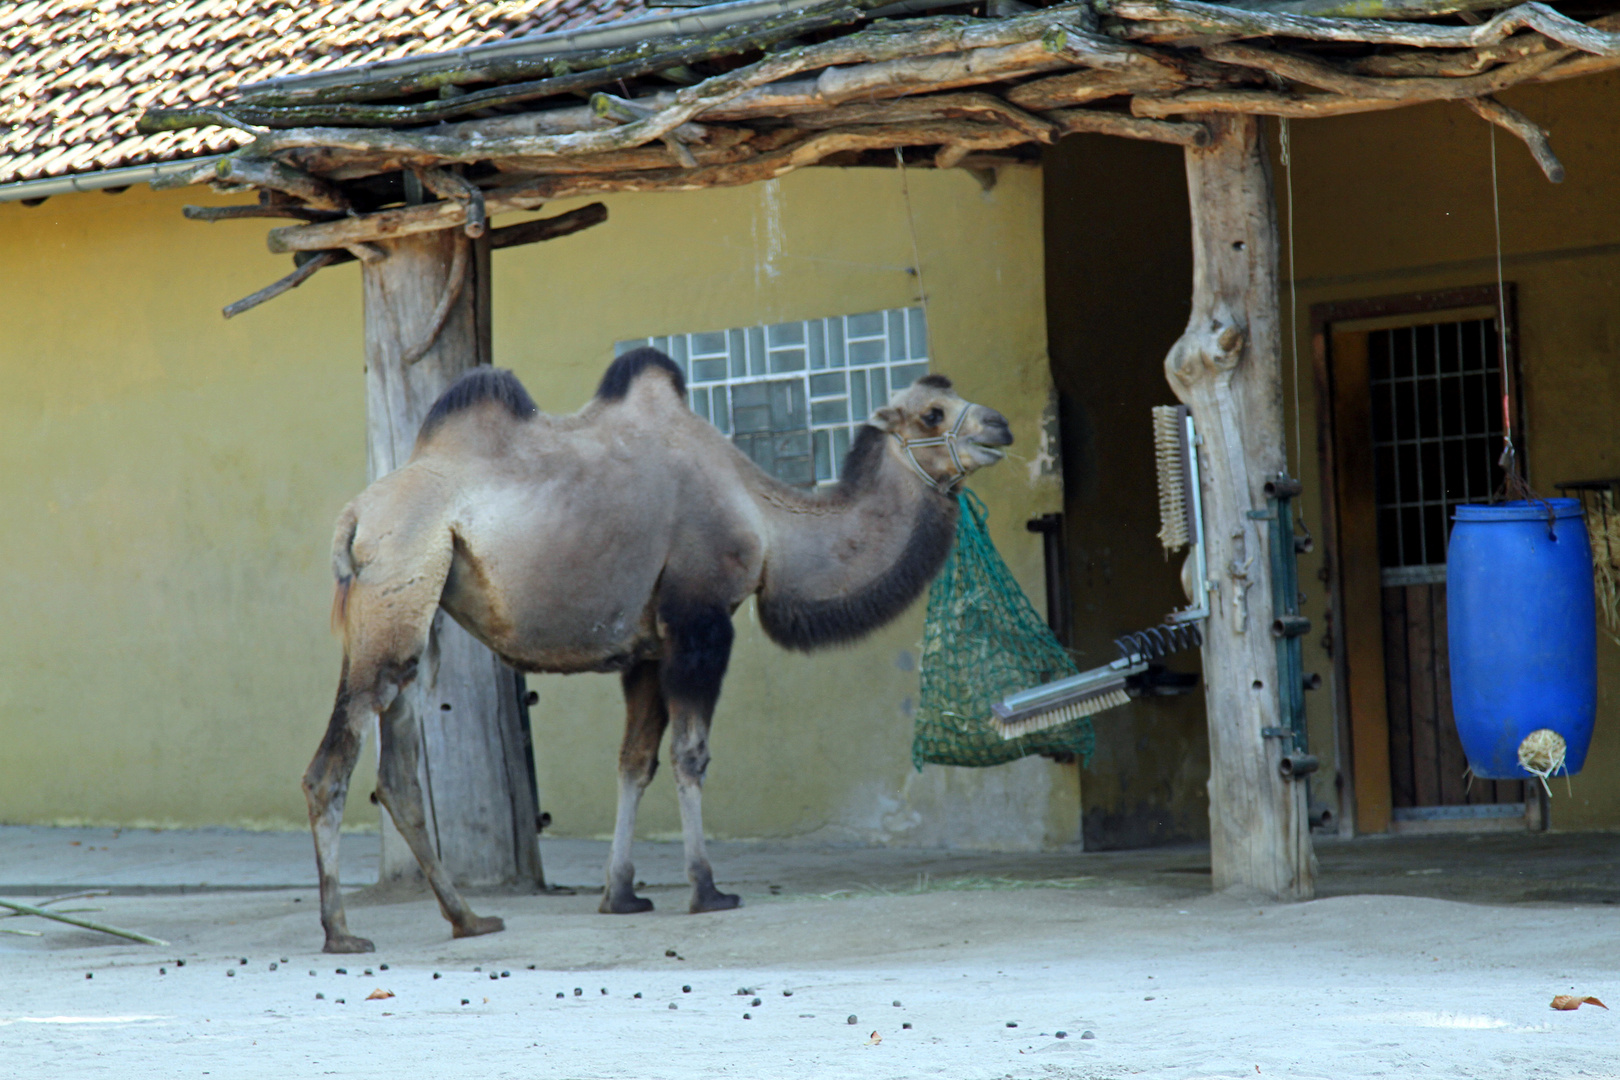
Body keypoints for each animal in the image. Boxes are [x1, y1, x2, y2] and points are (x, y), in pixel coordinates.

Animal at [304, 348, 1010, 952]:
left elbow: (633, 762)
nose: (1000, 425)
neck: (767, 521)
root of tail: (355, 516)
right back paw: (342, 932)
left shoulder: (646, 649)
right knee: (331, 766)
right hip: (400, 582)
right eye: (932, 413)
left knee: (397, 774)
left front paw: (621, 895)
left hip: (416, 621)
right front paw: (708, 890)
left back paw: (470, 919)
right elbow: (689, 755)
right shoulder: (700, 622)